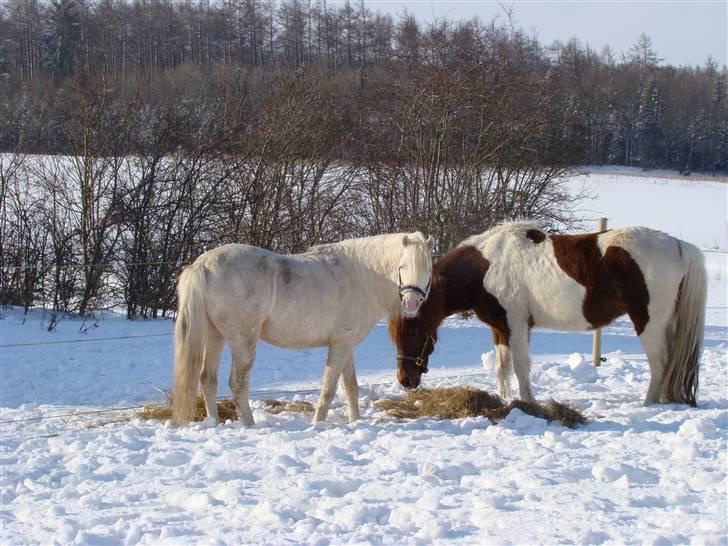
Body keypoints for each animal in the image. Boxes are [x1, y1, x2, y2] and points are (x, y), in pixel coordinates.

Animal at [172, 232, 434, 426]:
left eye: (428, 270)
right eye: (402, 266)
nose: (411, 304)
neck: (362, 275)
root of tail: (203, 265)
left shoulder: (345, 345)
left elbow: (350, 388)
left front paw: (355, 422)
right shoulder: (340, 345)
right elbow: (328, 389)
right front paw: (317, 424)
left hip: (215, 336)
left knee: (208, 379)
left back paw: (214, 423)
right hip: (242, 342)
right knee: (237, 384)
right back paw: (250, 425)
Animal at [390, 221, 707, 407]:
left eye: (413, 330)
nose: (406, 381)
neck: (486, 267)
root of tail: (679, 246)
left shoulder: (517, 325)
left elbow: (521, 367)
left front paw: (528, 403)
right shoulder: (500, 327)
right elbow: (502, 368)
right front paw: (504, 400)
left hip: (648, 322)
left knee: (660, 363)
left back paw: (648, 405)